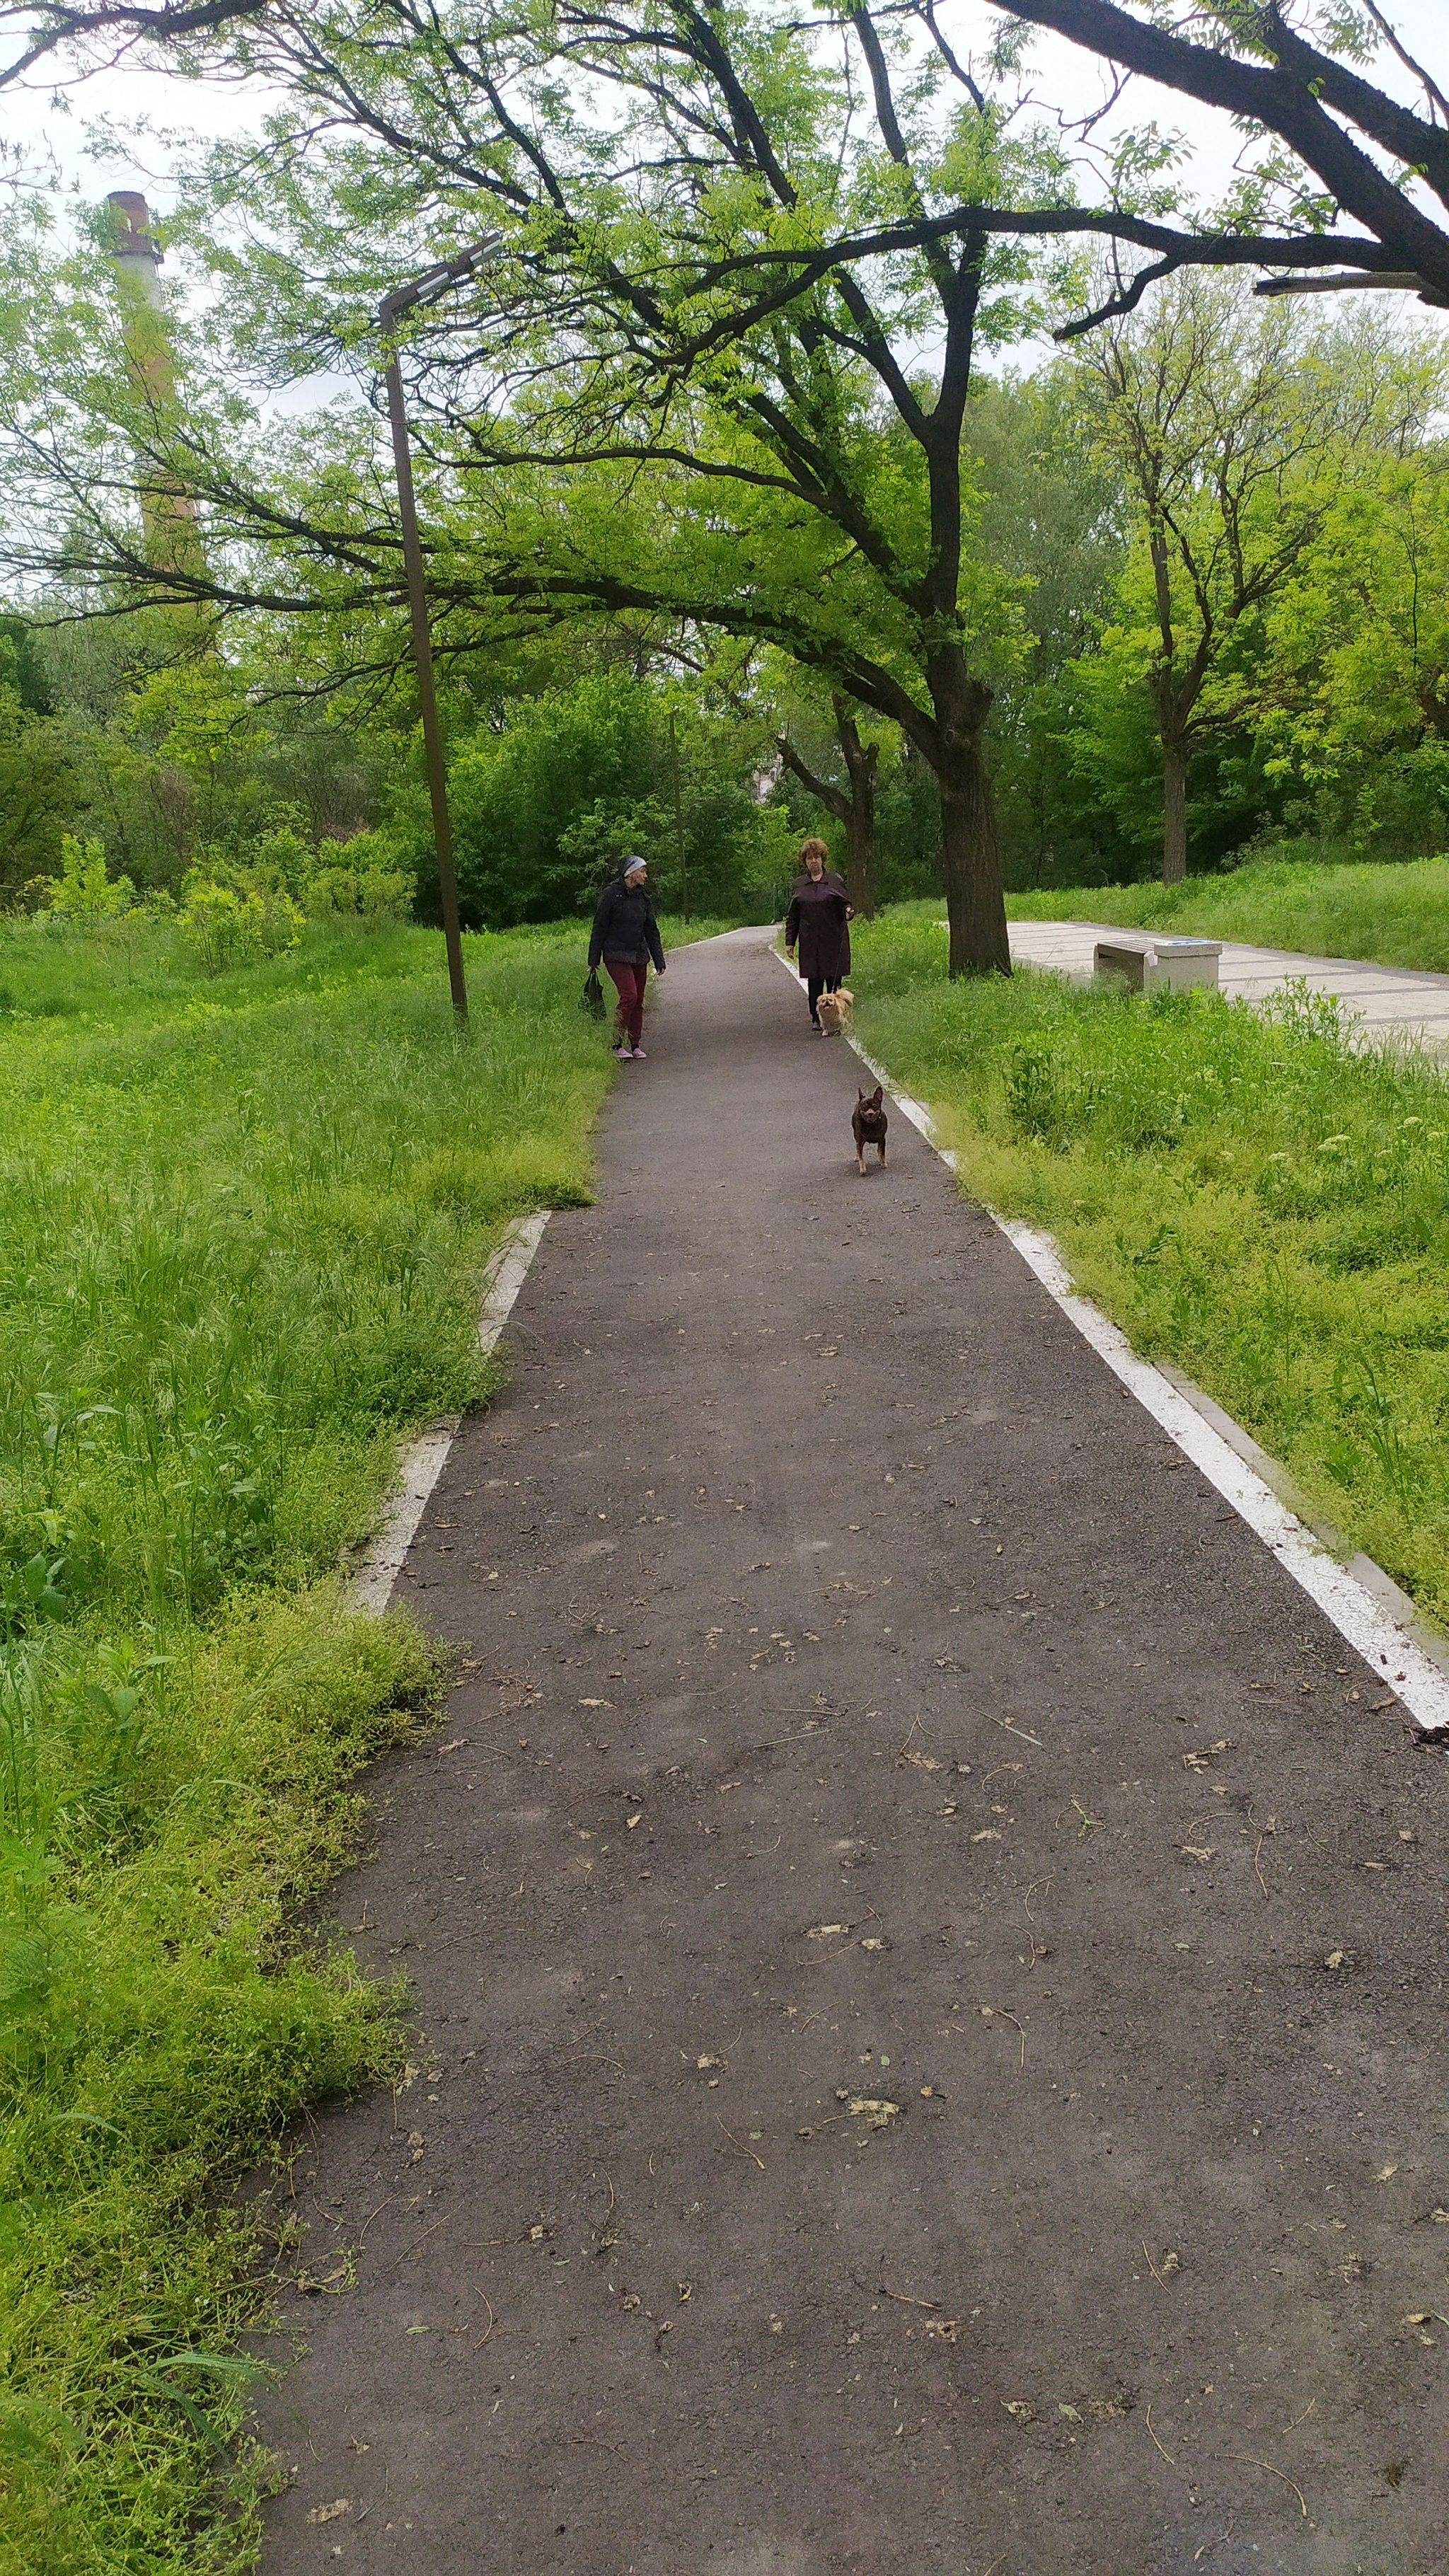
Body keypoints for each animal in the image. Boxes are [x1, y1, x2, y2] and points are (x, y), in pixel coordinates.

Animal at [845, 1082, 882, 1174]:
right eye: (864, 1107)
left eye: (875, 1106)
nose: (870, 1113)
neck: (870, 1126)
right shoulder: (860, 1141)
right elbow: (861, 1157)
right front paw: (863, 1169)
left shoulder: (882, 1139)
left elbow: (881, 1151)